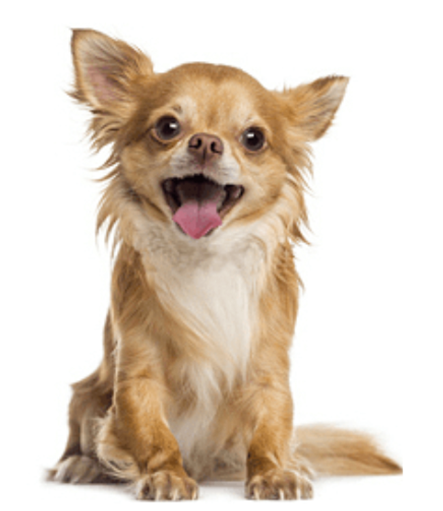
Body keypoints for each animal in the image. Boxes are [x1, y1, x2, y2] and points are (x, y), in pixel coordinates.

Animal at [48, 29, 401, 500]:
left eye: (253, 138)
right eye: (167, 127)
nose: (205, 141)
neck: (203, 256)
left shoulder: (268, 369)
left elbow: (271, 427)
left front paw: (274, 472)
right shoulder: (137, 373)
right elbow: (152, 432)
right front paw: (166, 474)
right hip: (87, 396)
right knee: (83, 427)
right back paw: (80, 464)